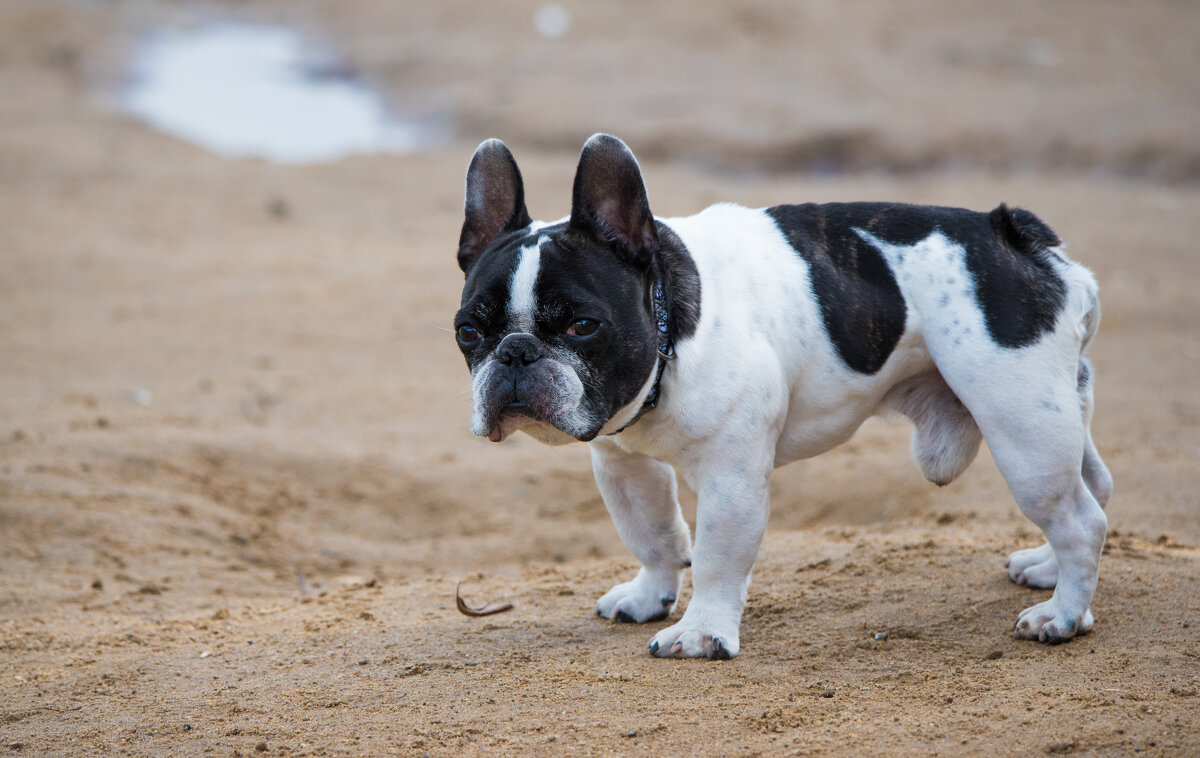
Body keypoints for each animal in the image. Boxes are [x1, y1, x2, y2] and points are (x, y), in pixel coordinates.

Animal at [451, 131, 1113, 657]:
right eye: (468, 332)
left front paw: (701, 633)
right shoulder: (622, 463)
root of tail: (1018, 235)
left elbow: (715, 555)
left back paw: (1062, 615)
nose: (515, 352)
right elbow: (654, 534)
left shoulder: (731, 475)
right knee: (1091, 488)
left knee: (1079, 518)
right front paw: (650, 595)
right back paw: (1048, 570)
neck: (671, 335)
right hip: (1058, 408)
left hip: (1020, 424)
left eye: (582, 326)